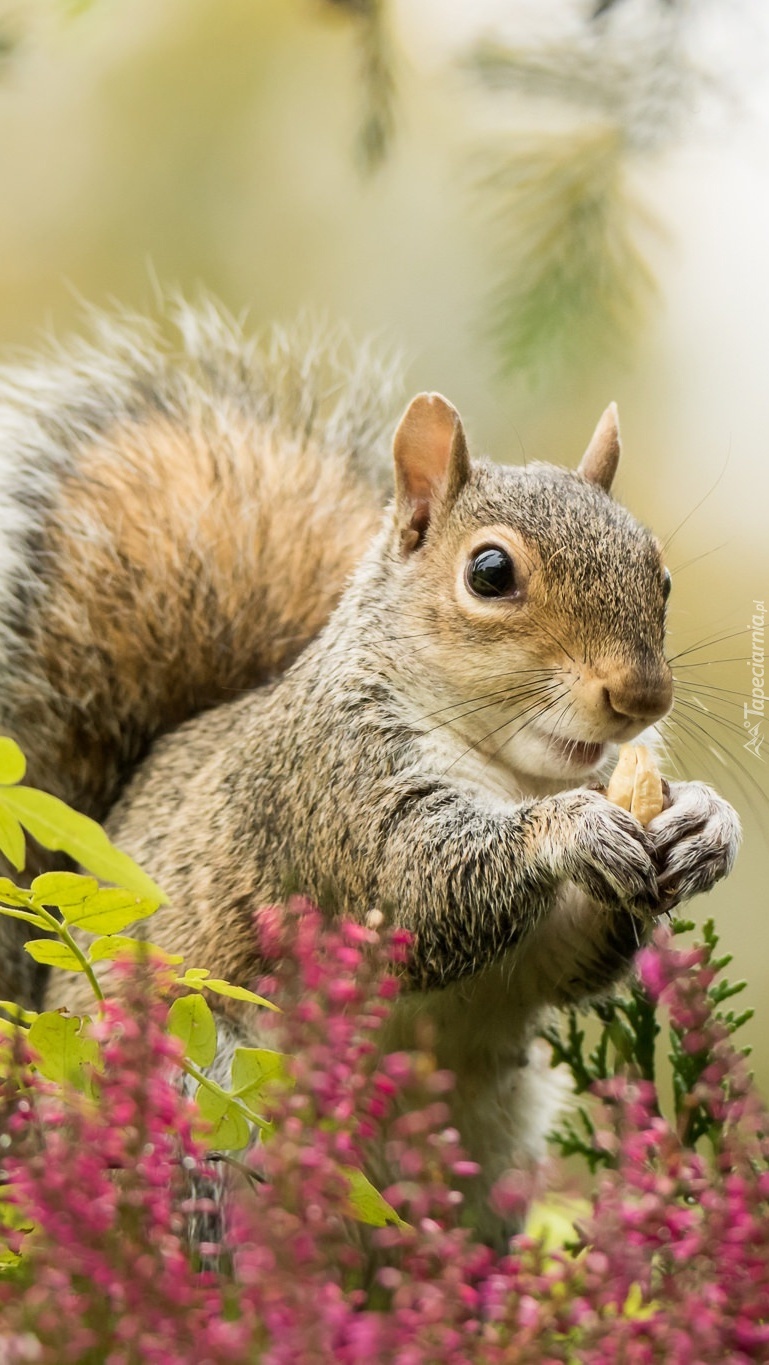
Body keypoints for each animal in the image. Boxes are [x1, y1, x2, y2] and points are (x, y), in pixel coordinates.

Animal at [0, 298, 737, 1250]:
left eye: (660, 572)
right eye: (489, 572)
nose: (641, 693)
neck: (513, 773)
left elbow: (566, 957)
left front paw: (705, 822)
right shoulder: (328, 786)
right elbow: (414, 888)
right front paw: (568, 830)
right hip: (201, 1099)